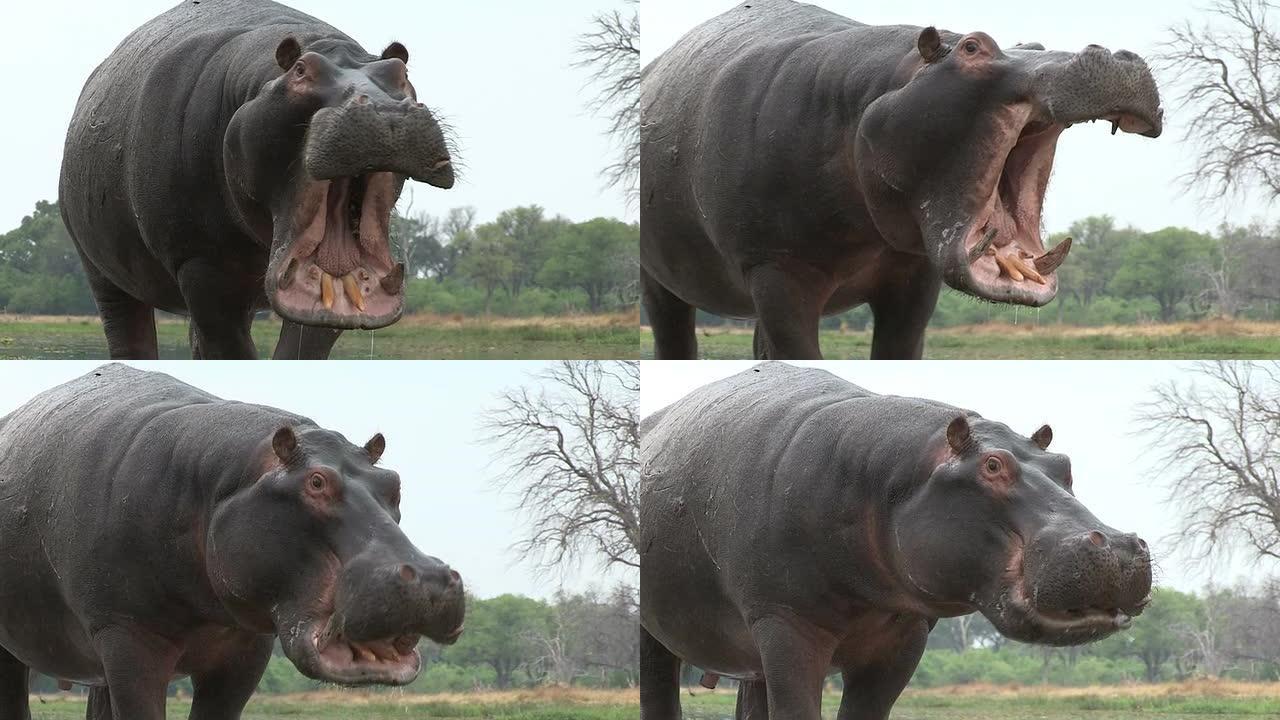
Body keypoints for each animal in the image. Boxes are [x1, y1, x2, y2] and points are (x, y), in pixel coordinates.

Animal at [0, 366, 465, 712]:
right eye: (316, 482)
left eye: (394, 483)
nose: (429, 577)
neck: (217, 485)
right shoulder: (128, 636)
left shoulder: (247, 650)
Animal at [62, 0, 458, 358]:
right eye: (301, 70)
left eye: (401, 73)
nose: (385, 109)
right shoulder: (202, 265)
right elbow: (231, 348)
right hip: (102, 271)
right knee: (127, 329)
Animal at [637, 0, 1162, 358]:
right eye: (972, 46)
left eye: (1033, 45)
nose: (1115, 54)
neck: (874, 92)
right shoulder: (775, 268)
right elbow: (799, 351)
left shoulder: (915, 277)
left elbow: (900, 347)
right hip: (662, 279)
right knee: (673, 334)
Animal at [645, 363, 1157, 717]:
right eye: (992, 465)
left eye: (1065, 465)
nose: (1118, 545)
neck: (886, 476)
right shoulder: (785, 623)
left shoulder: (905, 637)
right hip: (659, 629)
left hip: (752, 656)